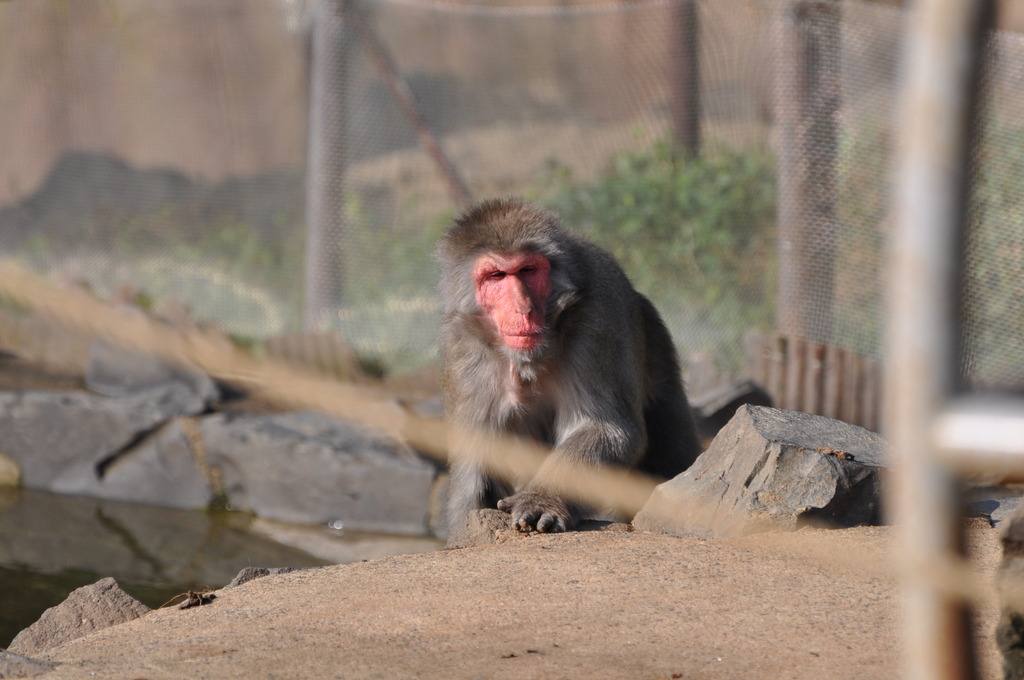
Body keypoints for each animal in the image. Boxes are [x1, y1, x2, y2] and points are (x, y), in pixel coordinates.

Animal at [436, 193, 700, 532]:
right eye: (496, 276)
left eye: (528, 270)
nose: (523, 308)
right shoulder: (463, 353)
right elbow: (474, 466)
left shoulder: (599, 319)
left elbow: (605, 429)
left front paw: (541, 500)